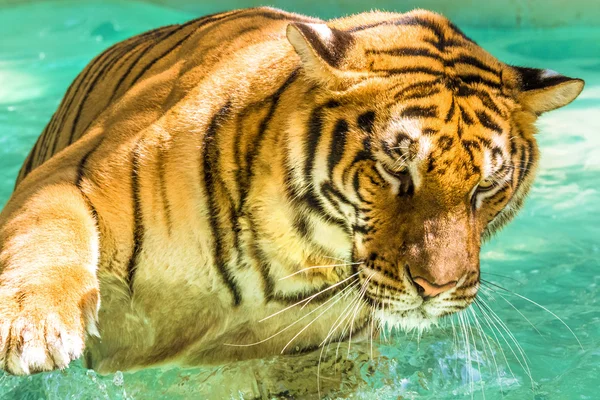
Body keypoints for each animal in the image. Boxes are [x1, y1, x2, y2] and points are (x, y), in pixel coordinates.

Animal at [0, 7, 584, 376]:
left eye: (487, 186)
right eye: (397, 170)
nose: (437, 288)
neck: (289, 251)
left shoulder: (307, 358)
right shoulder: (70, 177)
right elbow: (50, 234)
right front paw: (37, 330)